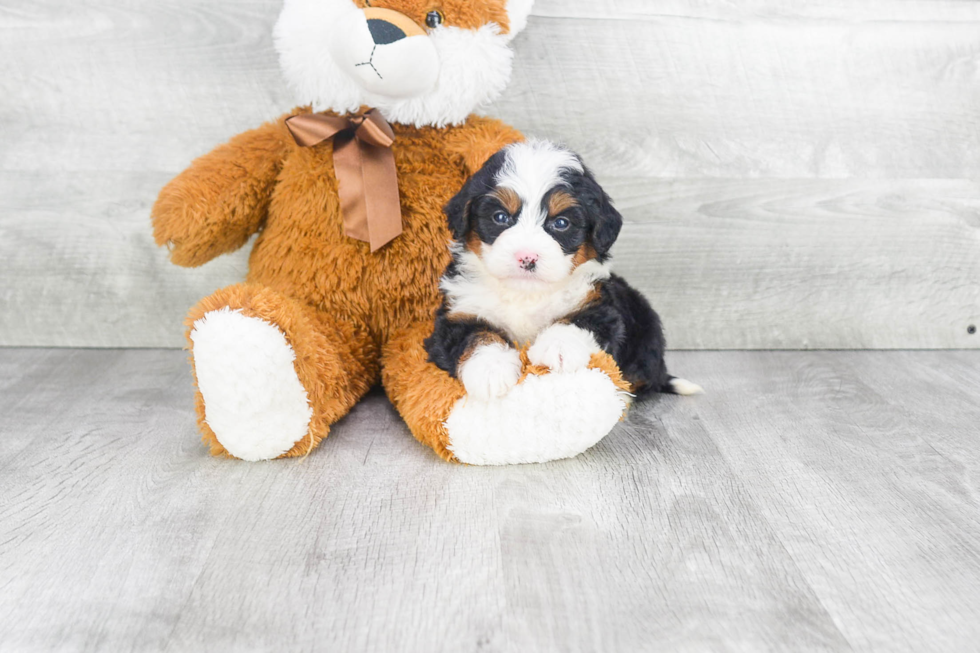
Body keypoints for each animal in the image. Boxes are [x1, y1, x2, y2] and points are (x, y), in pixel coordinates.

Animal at [424, 140, 700, 400]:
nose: (527, 257)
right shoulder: (458, 313)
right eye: (500, 217)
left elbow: (577, 322)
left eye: (561, 223)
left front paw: (557, 348)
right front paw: (491, 369)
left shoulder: (600, 306)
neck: (525, 295)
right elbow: (476, 335)